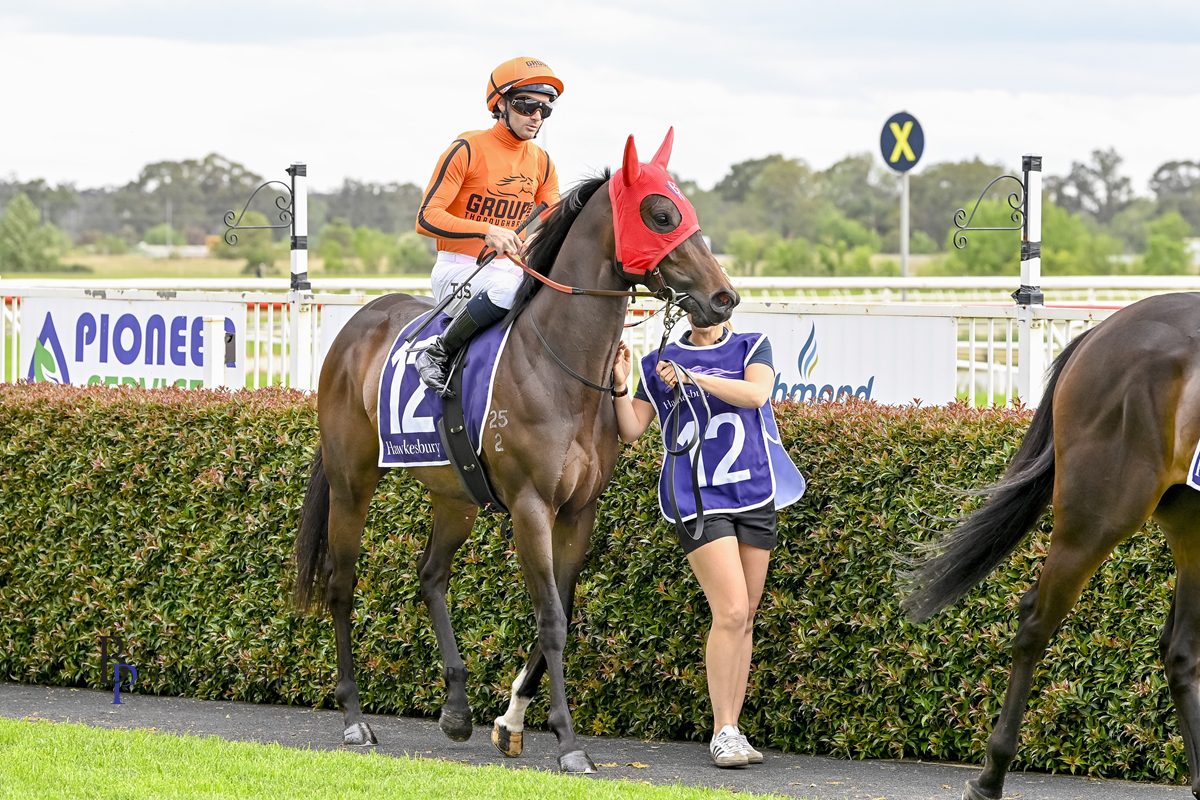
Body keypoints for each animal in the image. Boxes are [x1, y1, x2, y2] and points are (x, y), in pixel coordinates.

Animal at [292, 131, 739, 773]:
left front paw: (510, 719)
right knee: (342, 583)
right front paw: (569, 743)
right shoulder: (531, 506)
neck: (563, 367)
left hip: (455, 495)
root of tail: (357, 324)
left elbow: (562, 610)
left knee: (430, 575)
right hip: (353, 481)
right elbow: (551, 618)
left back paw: (456, 710)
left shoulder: (579, 510)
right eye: (660, 214)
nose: (723, 298)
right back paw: (354, 718)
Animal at [904, 292, 1200, 799]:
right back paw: (990, 775)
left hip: (1188, 520)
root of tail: (1100, 333)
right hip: (1095, 517)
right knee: (1035, 624)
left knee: (1179, 649)